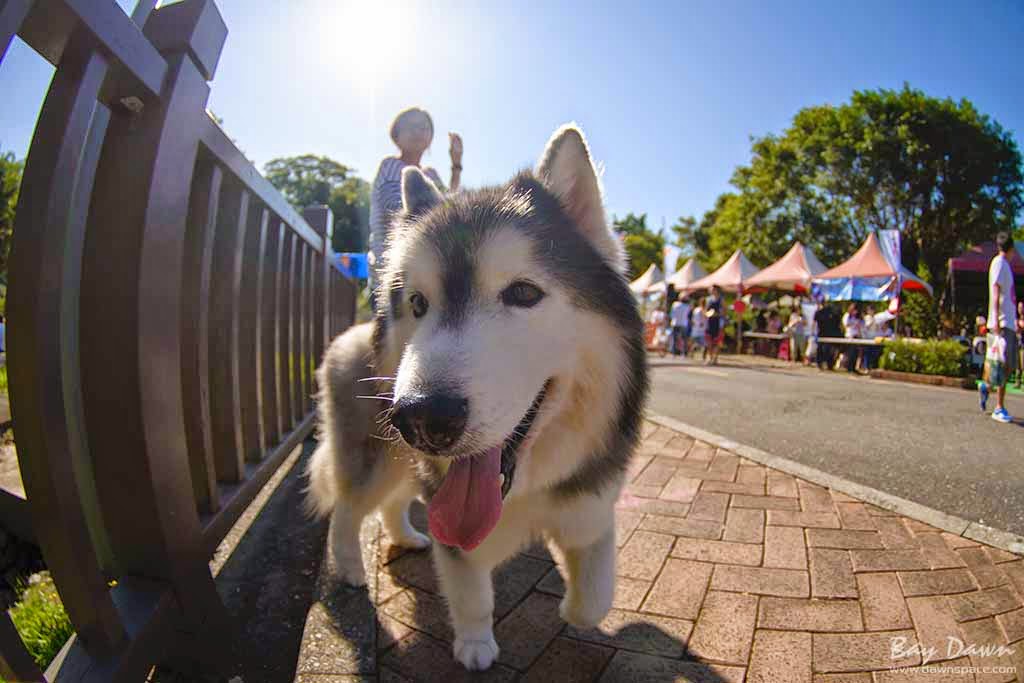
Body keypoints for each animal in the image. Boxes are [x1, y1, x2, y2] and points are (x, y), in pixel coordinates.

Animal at [307, 125, 651, 671]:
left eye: (524, 293)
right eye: (418, 304)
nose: (423, 417)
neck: (529, 483)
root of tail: (352, 334)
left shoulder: (590, 502)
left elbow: (597, 592)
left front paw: (575, 612)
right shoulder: (457, 526)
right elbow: (471, 591)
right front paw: (474, 644)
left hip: (402, 460)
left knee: (393, 504)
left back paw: (406, 536)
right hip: (376, 458)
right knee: (347, 510)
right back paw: (351, 569)